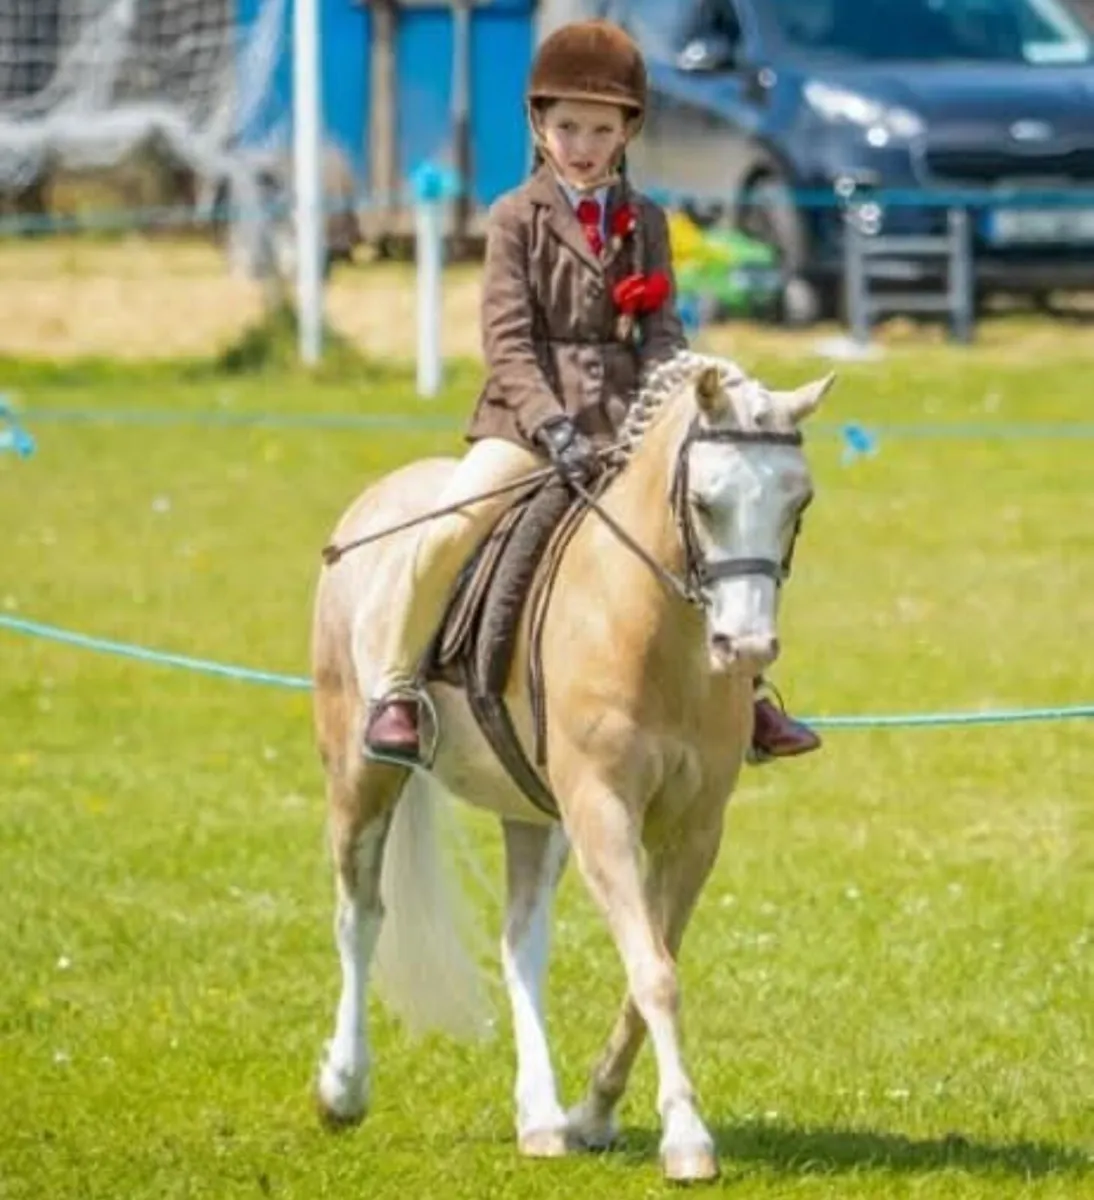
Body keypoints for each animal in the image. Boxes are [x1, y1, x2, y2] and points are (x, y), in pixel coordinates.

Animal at [309, 349, 832, 1182]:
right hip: (362, 775)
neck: (652, 632)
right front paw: (688, 1137)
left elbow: (652, 964)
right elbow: (654, 973)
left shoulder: (693, 829)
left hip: (530, 812)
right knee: (359, 917)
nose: (744, 649)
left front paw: (595, 1114)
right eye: (707, 503)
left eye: (799, 503)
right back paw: (343, 1090)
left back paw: (542, 1118)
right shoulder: (602, 810)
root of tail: (377, 500)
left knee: (521, 943)